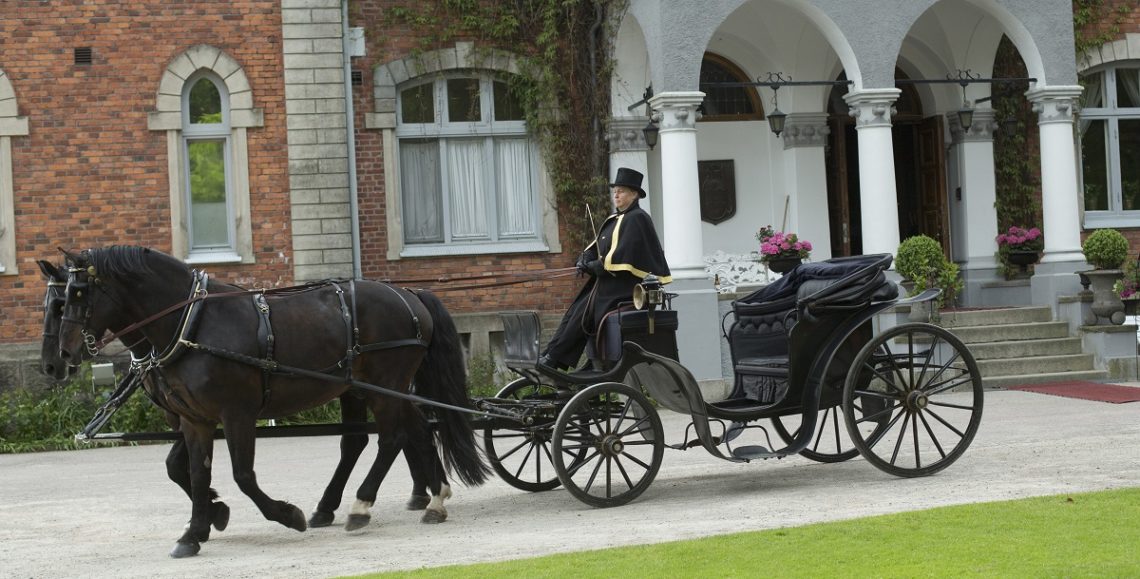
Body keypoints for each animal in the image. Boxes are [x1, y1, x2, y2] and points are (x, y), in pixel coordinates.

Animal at [54, 247, 490, 556]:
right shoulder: (195, 420)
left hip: (385, 384)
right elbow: (196, 474)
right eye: (60, 298)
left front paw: (286, 514)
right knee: (413, 430)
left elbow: (243, 476)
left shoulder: (237, 414)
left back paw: (361, 505)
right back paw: (434, 498)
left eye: (78, 293)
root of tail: (407, 293)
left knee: (392, 437)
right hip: (377, 387)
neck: (194, 324)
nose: (62, 356)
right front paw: (195, 532)